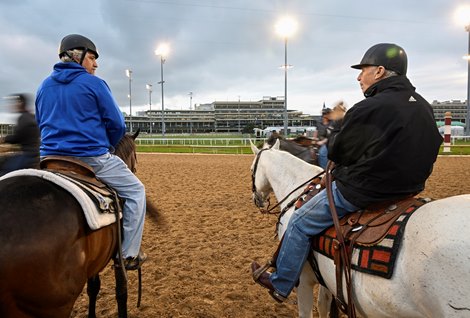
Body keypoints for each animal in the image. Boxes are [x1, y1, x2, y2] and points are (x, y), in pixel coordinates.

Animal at [0, 130, 140, 316]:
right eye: (135, 156)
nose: (135, 169)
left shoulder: (93, 261)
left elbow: (93, 288)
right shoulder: (119, 257)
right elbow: (121, 292)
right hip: (54, 306)